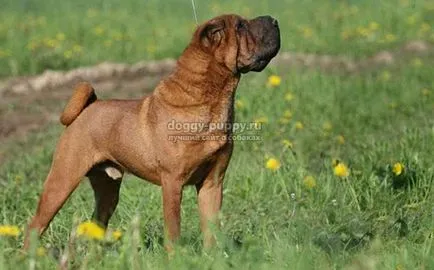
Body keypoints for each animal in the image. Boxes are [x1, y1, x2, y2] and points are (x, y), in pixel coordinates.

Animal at [24, 14, 282, 251]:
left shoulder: (212, 183)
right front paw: (176, 258)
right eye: (240, 26)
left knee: (96, 223)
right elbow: (173, 229)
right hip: (61, 181)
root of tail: (87, 108)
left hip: (107, 190)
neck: (209, 100)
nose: (273, 19)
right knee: (35, 226)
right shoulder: (172, 183)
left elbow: (211, 229)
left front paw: (213, 258)